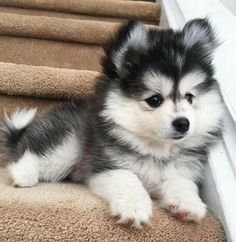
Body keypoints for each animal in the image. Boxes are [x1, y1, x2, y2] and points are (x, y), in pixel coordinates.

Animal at [0, 19, 224, 229]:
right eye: (154, 100)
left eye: (189, 97)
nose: (183, 123)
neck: (157, 150)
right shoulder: (105, 166)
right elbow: (128, 178)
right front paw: (134, 207)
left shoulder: (180, 171)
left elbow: (184, 183)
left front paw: (189, 204)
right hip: (69, 144)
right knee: (29, 155)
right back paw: (22, 175)